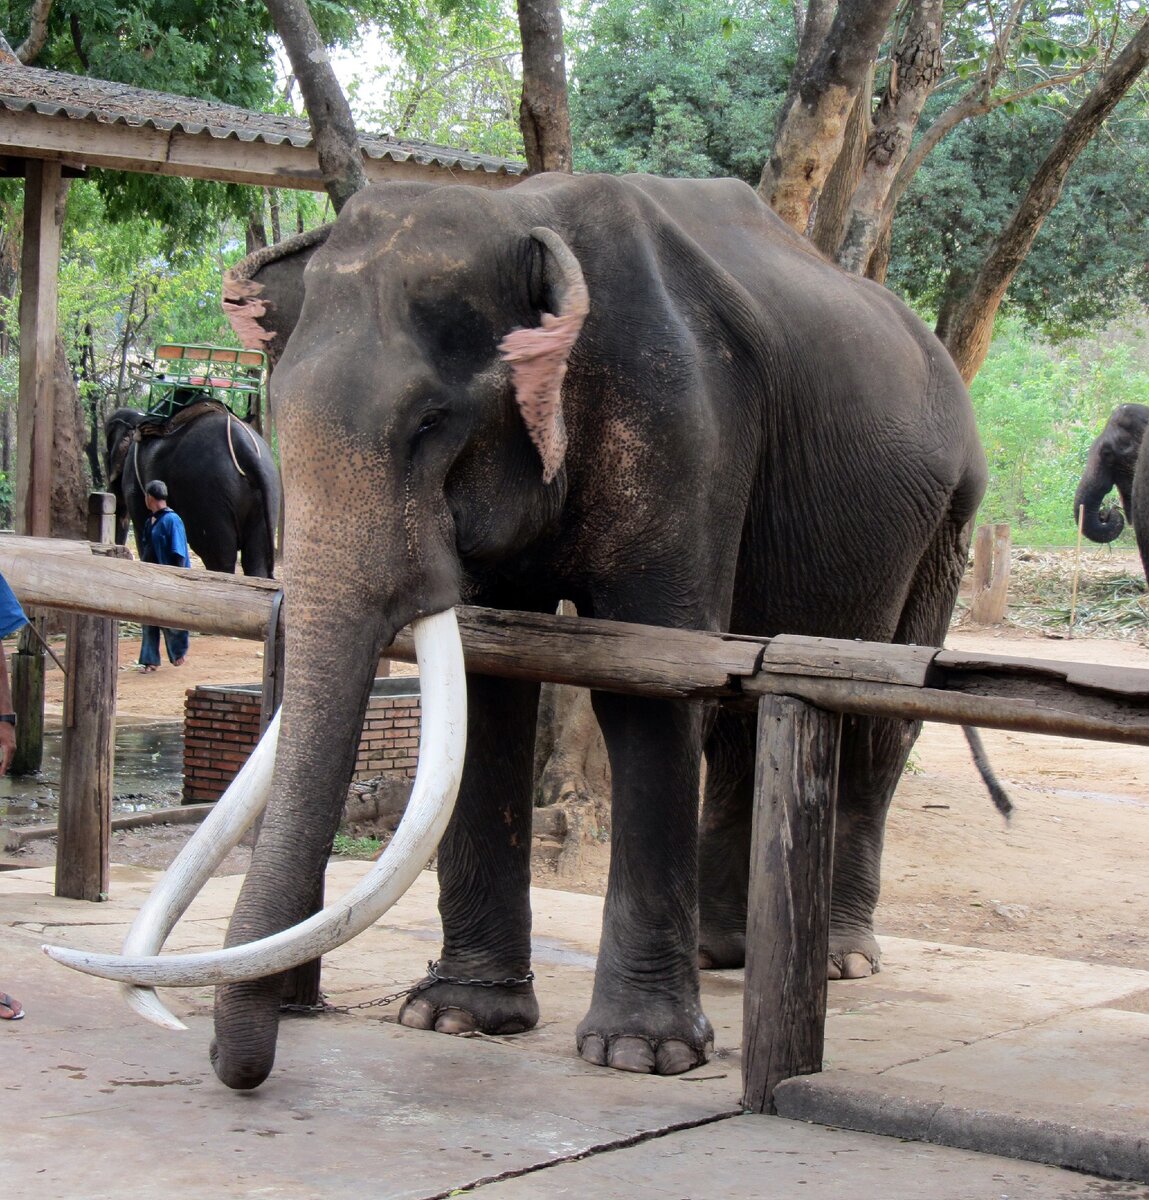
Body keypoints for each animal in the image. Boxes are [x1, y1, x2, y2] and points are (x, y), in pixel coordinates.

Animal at [105, 398, 283, 576]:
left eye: (106, 453)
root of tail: (245, 448)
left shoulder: (134, 480)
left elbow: (143, 527)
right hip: (268, 492)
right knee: (256, 560)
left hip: (208, 495)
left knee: (219, 557)